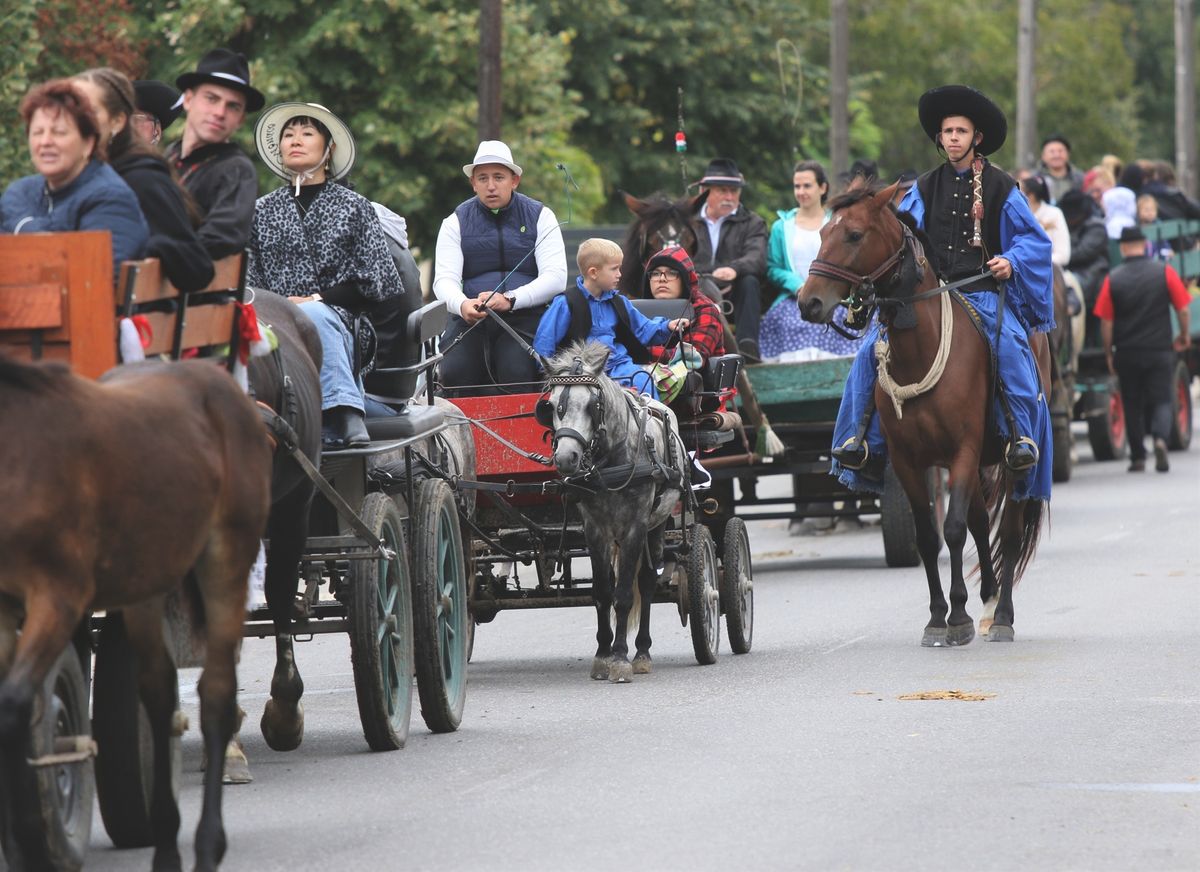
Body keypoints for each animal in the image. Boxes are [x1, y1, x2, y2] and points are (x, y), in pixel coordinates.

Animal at [0, 357, 272, 872]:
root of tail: (219, 376)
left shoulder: (58, 596)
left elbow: (14, 702)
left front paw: (30, 840)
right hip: (147, 584)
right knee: (159, 694)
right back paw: (165, 844)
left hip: (228, 558)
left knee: (216, 695)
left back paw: (207, 844)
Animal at [801, 185, 1046, 647]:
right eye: (822, 231)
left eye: (854, 235)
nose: (809, 302)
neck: (921, 350)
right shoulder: (908, 461)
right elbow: (929, 537)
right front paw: (938, 617)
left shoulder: (962, 452)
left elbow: (953, 530)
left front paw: (959, 617)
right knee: (981, 523)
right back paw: (988, 601)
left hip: (1011, 460)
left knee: (1008, 529)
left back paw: (1002, 616)